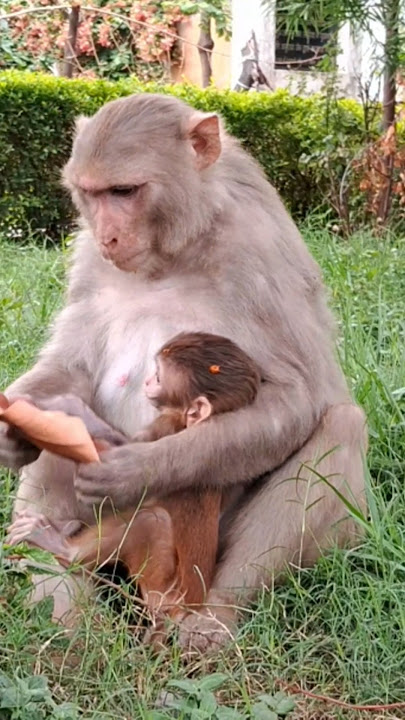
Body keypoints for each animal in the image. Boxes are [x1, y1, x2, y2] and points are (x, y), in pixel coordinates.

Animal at [7, 332, 261, 627]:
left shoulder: (168, 422)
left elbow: (120, 456)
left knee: (152, 519)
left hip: (163, 586)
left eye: (159, 377)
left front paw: (63, 411)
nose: (148, 381)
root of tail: (186, 606)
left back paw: (61, 546)